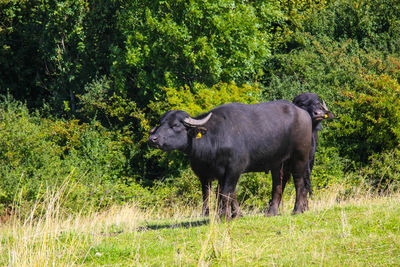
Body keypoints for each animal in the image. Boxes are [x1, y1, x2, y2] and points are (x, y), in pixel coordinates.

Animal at [149, 101, 312, 219]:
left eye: (175, 125)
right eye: (160, 123)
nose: (153, 139)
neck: (214, 138)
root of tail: (303, 113)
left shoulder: (234, 168)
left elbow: (225, 193)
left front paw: (224, 215)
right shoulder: (212, 174)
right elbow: (217, 194)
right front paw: (233, 214)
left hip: (300, 157)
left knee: (299, 182)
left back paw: (297, 209)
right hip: (278, 163)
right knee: (278, 185)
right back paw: (271, 212)